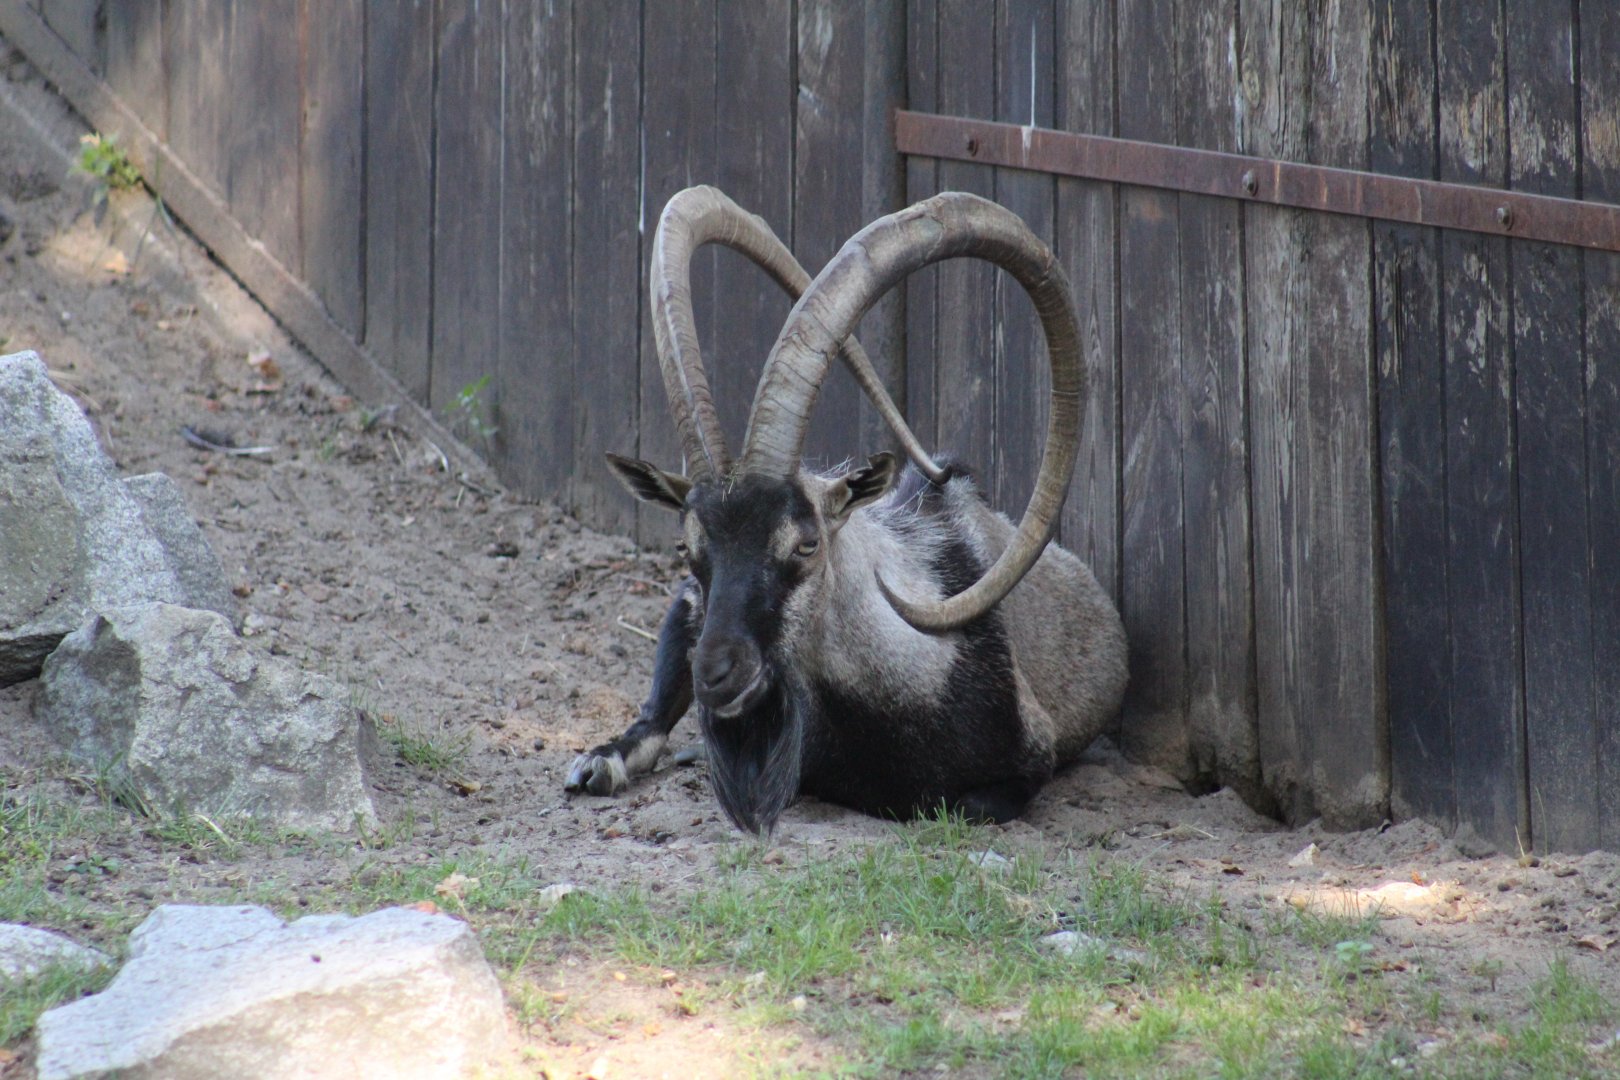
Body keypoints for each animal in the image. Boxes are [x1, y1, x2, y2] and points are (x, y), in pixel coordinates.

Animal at [565, 187, 1128, 834]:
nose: (715, 674)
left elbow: (968, 805)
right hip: (684, 616)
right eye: (687, 545)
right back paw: (599, 762)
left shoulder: (1025, 763)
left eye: (807, 544)